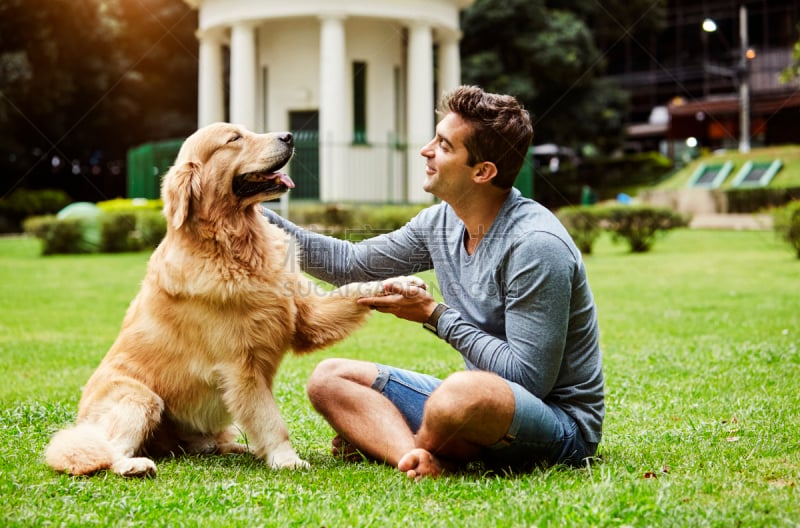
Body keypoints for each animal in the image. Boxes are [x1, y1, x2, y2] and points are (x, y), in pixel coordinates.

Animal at [44, 124, 422, 478]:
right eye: (234, 138)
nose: (289, 136)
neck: (236, 244)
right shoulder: (241, 367)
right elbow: (270, 419)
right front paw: (286, 459)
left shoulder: (304, 317)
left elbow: (356, 288)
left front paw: (401, 284)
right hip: (139, 397)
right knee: (103, 448)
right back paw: (133, 465)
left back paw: (234, 448)